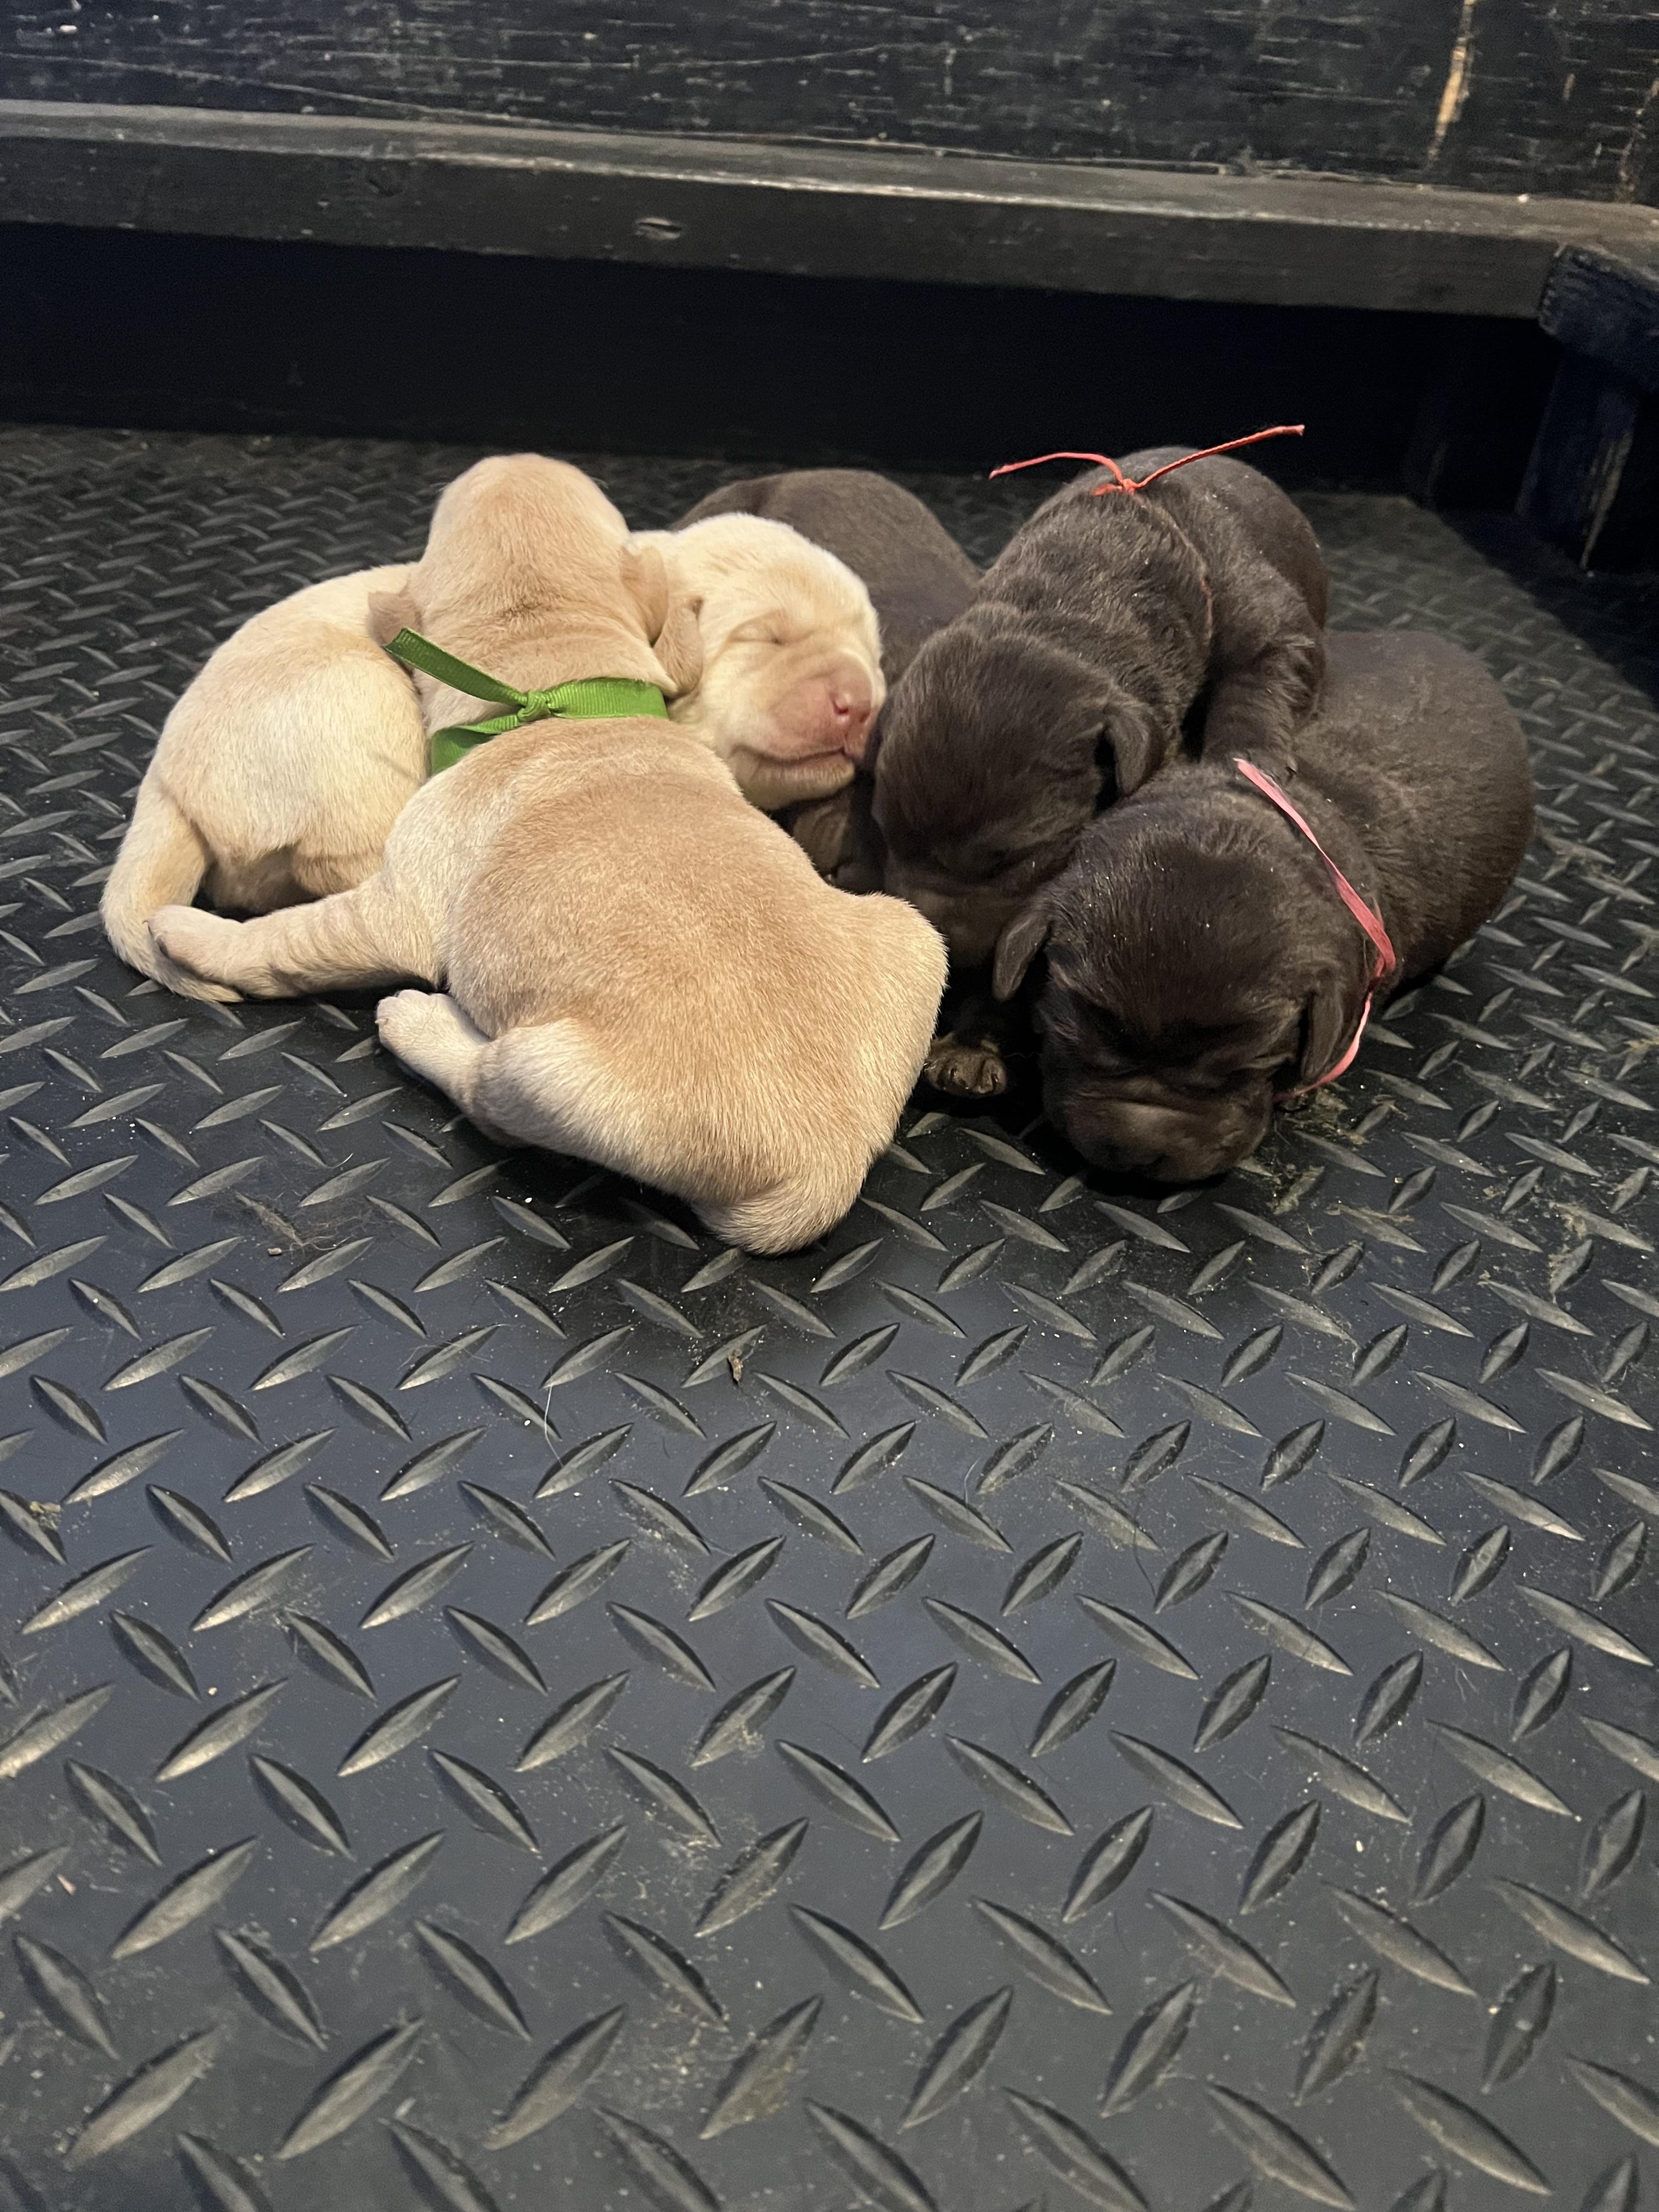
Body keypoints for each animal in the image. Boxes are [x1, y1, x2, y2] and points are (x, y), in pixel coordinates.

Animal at [872, 446, 1328, 1094]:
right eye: (885, 835)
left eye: (1013, 859)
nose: (944, 958)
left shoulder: (1271, 625)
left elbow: (1261, 676)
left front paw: (1247, 761)